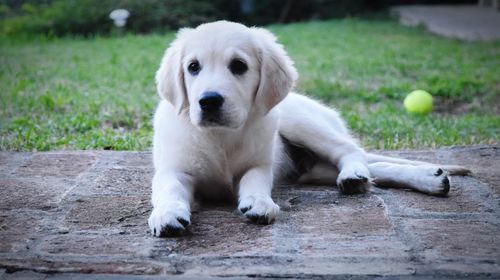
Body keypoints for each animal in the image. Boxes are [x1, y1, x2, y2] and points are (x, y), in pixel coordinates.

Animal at [147, 20, 468, 237]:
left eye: (239, 66)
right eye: (193, 67)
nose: (209, 101)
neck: (221, 137)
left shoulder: (259, 165)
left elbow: (255, 181)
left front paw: (259, 203)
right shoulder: (173, 169)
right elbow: (169, 188)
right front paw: (167, 214)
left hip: (300, 122)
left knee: (352, 151)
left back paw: (357, 174)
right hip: (312, 168)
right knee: (375, 167)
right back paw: (428, 178)